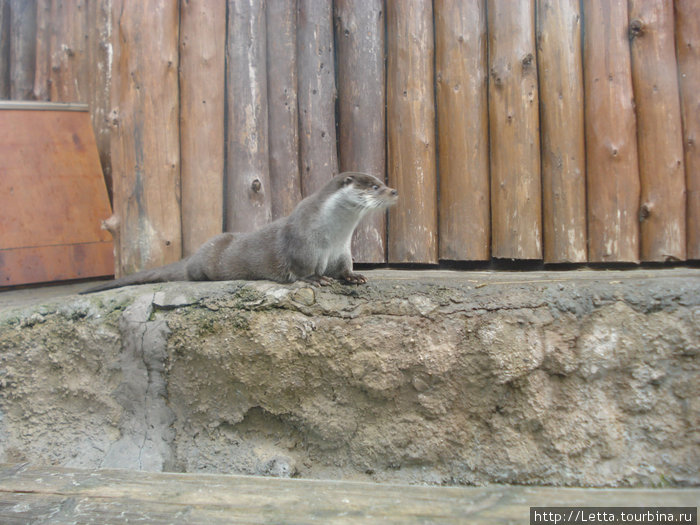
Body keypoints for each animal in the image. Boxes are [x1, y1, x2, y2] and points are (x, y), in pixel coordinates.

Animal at [81, 173, 396, 292]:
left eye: (382, 181)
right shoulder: (303, 245)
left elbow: (344, 268)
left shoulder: (342, 250)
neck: (331, 234)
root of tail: (193, 256)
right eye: (374, 186)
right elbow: (302, 269)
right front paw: (316, 279)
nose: (394, 190)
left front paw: (353, 276)